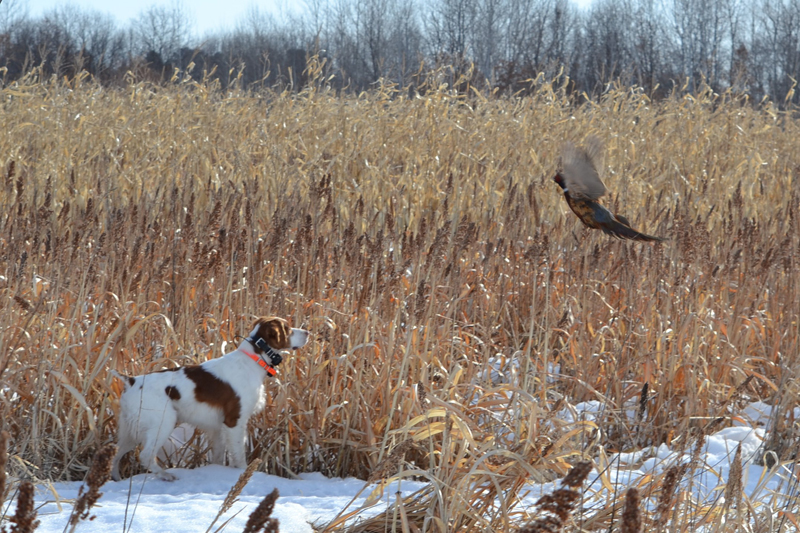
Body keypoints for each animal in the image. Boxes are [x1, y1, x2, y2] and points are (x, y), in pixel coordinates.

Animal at [112, 314, 310, 480]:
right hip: (162, 422)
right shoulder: (234, 421)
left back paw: (116, 478)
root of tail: (131, 381)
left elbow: (218, 456)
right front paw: (243, 475)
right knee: (145, 455)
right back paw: (166, 475)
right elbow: (239, 456)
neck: (252, 360)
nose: (307, 332)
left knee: (116, 454)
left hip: (130, 430)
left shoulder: (218, 427)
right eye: (288, 328)